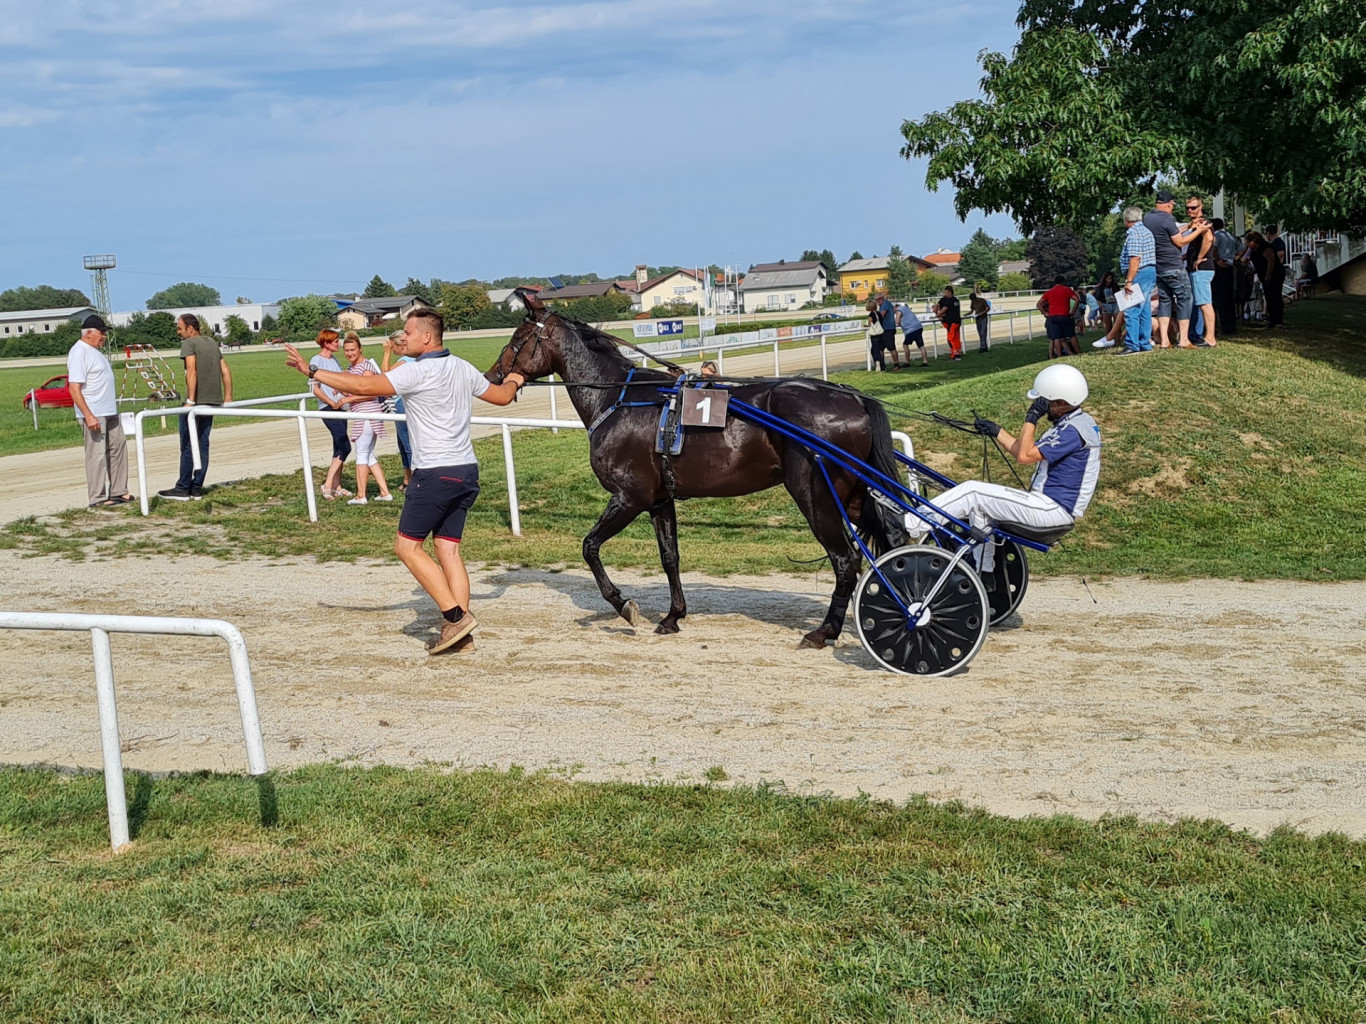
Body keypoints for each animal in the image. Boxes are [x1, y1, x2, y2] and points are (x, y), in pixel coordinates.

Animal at [483, 294, 907, 649]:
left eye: (518, 338)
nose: (491, 376)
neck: (619, 398)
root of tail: (852, 397)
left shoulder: (630, 496)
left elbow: (589, 546)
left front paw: (623, 604)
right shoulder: (658, 498)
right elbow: (669, 556)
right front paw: (673, 616)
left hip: (816, 494)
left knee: (845, 560)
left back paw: (824, 631)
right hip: (853, 495)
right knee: (888, 543)